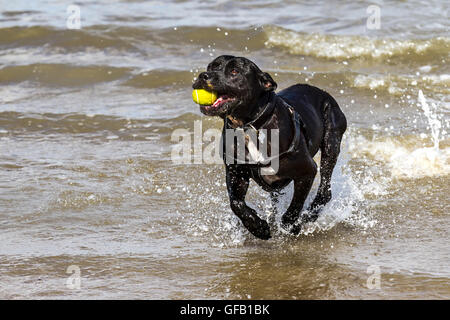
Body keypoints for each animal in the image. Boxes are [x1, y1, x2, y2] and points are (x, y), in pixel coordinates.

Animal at [192, 55, 346, 240]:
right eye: (211, 66)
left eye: (234, 71)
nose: (203, 75)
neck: (249, 126)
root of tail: (322, 92)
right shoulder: (236, 173)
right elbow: (236, 203)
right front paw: (257, 226)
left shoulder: (307, 170)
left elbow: (296, 205)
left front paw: (289, 224)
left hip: (331, 142)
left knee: (324, 192)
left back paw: (308, 217)